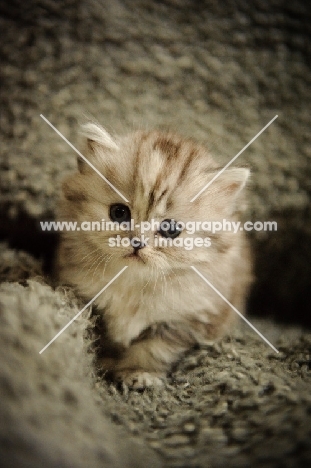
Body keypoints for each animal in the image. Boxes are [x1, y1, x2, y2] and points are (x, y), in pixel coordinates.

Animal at [56, 123, 254, 388]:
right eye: (119, 213)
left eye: (170, 229)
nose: (138, 243)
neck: (133, 282)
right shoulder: (88, 300)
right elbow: (101, 338)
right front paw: (106, 364)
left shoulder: (181, 321)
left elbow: (153, 349)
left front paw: (138, 374)